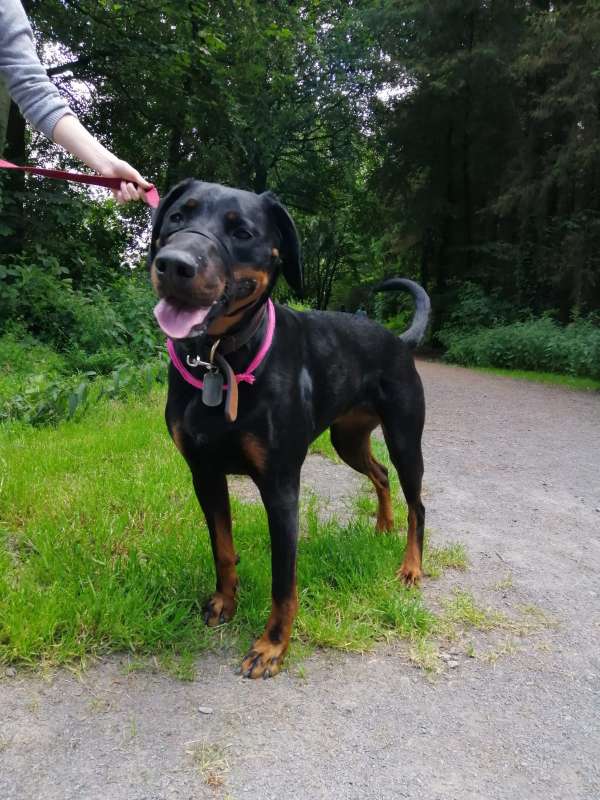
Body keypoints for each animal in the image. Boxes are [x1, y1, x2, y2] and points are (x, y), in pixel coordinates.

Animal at [150, 178, 432, 680]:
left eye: (242, 232)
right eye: (177, 216)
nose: (174, 264)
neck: (220, 360)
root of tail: (399, 341)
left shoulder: (280, 485)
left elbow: (284, 578)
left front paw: (272, 646)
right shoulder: (204, 473)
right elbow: (223, 548)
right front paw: (224, 602)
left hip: (405, 438)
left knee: (417, 502)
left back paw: (410, 567)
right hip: (347, 439)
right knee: (379, 474)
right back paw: (382, 525)